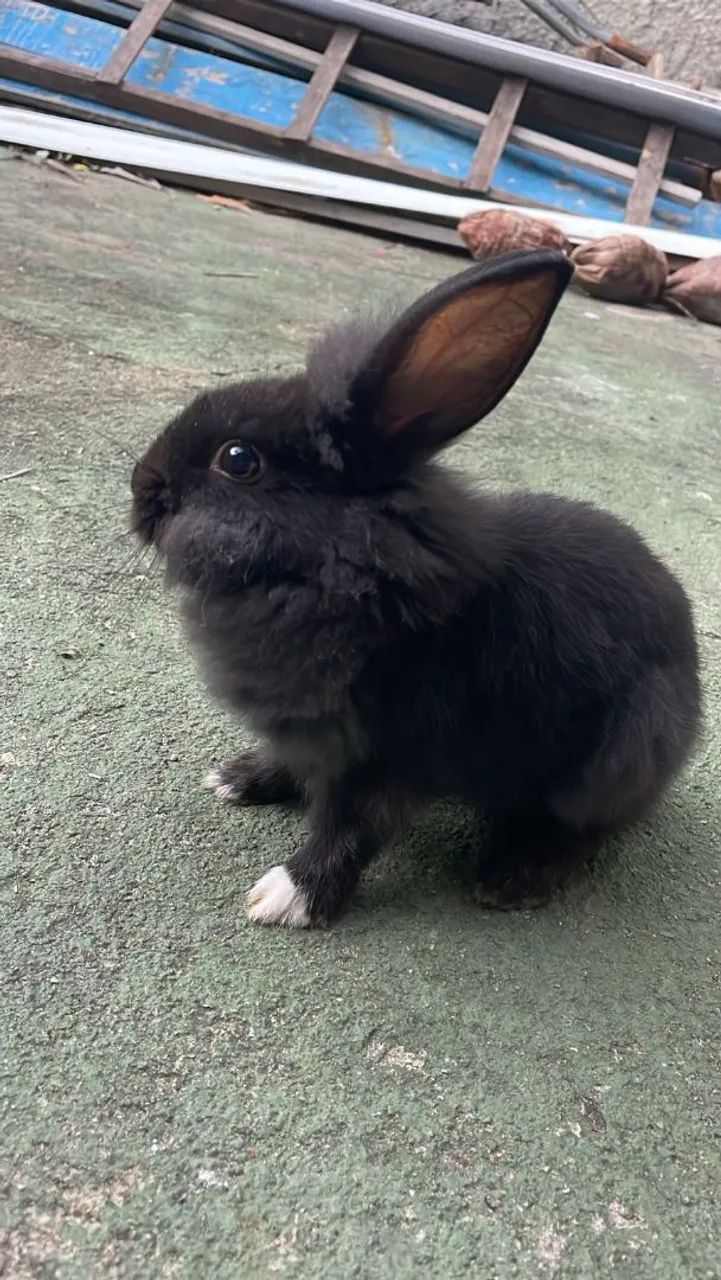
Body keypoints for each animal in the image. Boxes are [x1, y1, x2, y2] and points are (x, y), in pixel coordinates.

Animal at [131, 249, 701, 928]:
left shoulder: (388, 757)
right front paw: (239, 778)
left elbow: (348, 830)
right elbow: (298, 770)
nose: (140, 488)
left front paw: (288, 897)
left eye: (238, 460)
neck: (344, 565)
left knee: (586, 827)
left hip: (616, 758)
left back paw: (513, 877)